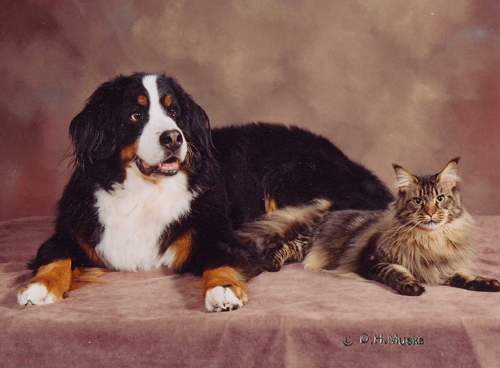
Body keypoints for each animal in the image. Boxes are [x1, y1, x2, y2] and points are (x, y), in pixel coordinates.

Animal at [16, 73, 394, 312]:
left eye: (173, 111)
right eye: (136, 114)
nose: (173, 137)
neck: (144, 192)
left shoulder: (216, 234)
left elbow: (220, 259)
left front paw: (222, 291)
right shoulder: (74, 232)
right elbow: (55, 255)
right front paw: (39, 287)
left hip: (288, 172)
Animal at [239, 158, 500, 296]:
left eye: (440, 199)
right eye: (418, 201)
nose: (430, 213)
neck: (430, 240)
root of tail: (332, 206)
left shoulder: (443, 267)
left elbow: (463, 275)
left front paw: (486, 282)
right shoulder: (372, 260)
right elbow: (395, 271)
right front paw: (411, 285)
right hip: (306, 243)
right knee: (284, 246)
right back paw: (272, 263)